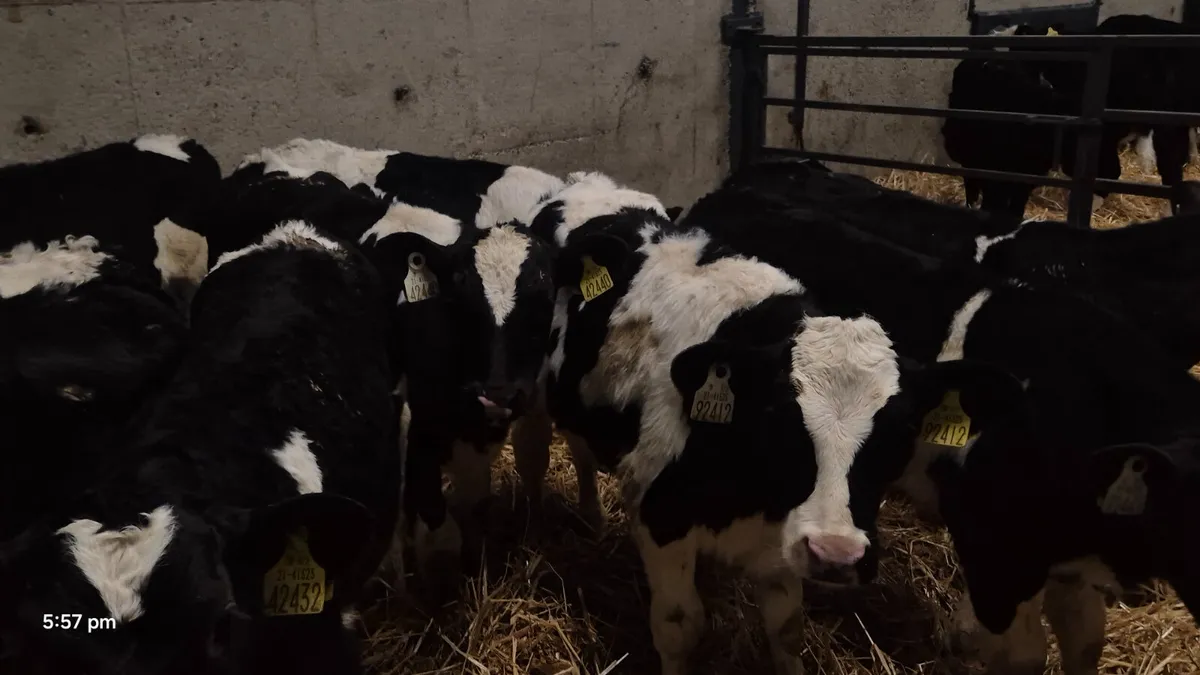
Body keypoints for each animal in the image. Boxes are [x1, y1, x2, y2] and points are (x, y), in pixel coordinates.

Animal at [515, 171, 1021, 675]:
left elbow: (786, 629)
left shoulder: (782, 538)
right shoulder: (659, 515)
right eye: (783, 420)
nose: (835, 553)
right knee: (537, 453)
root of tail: (586, 184)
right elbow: (680, 627)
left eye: (897, 435)